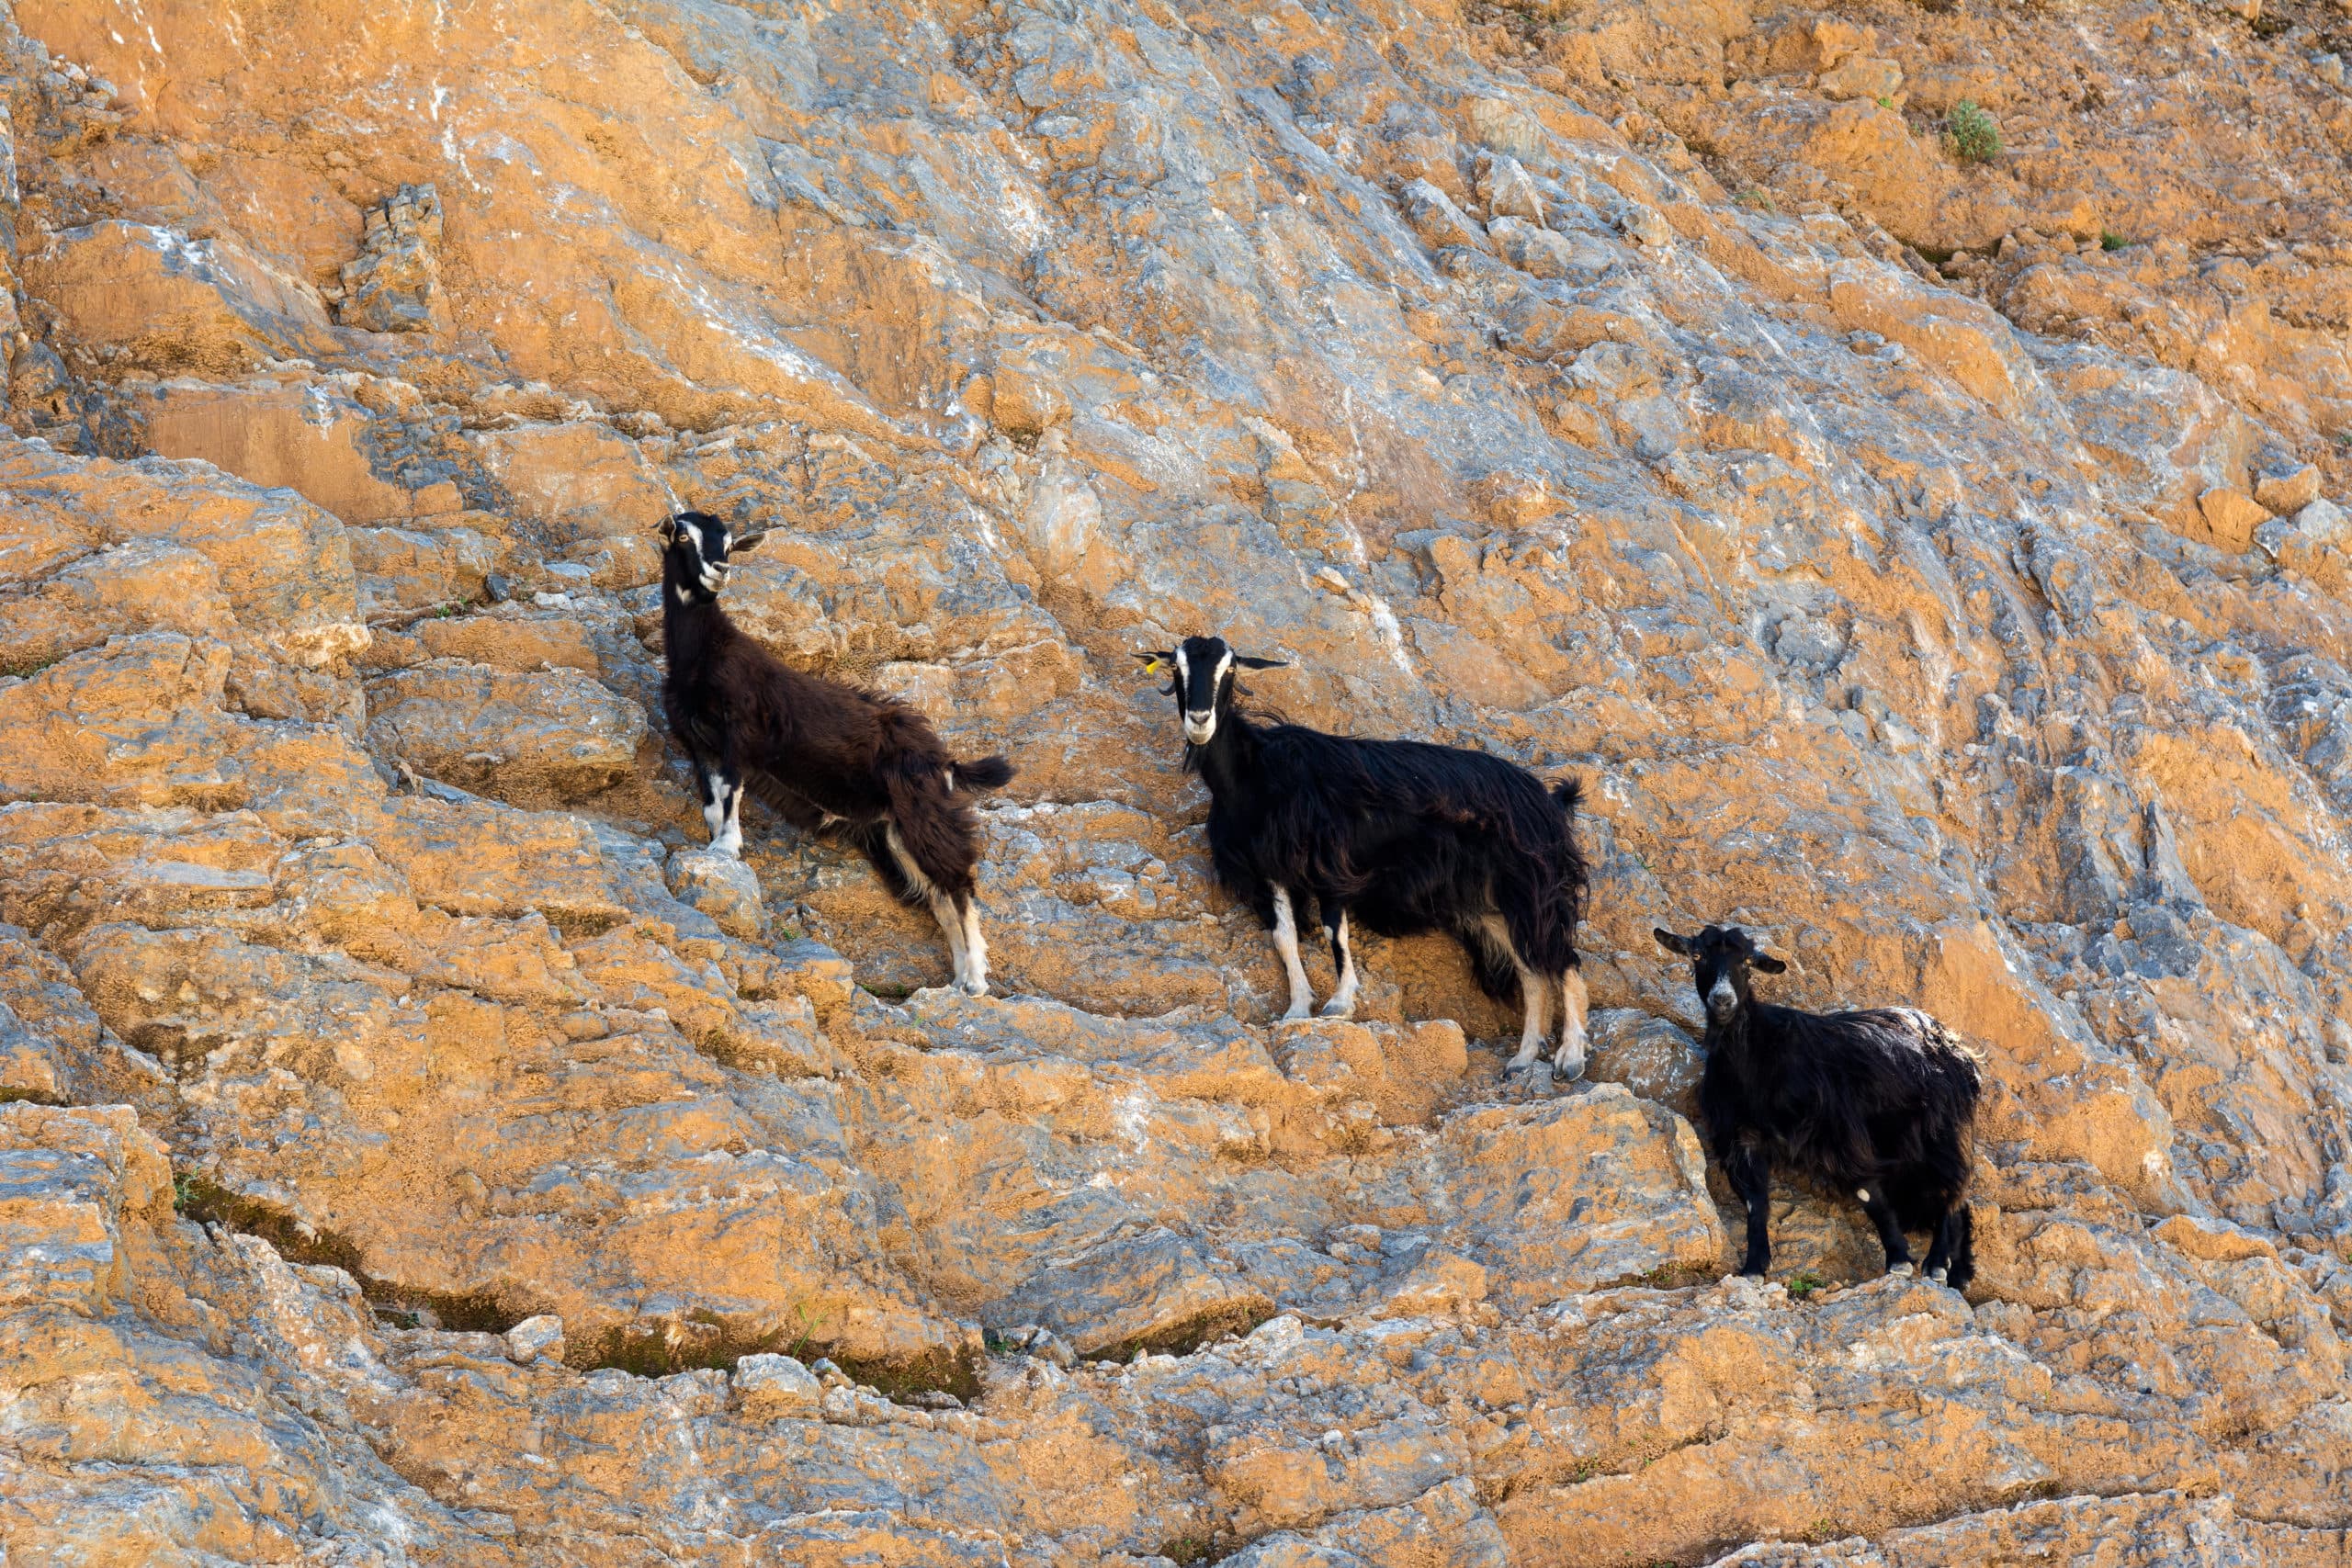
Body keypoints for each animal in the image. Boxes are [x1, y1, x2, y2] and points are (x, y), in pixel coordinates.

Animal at [657, 510, 1014, 994]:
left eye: (730, 545)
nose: (718, 570)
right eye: (681, 535)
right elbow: (713, 804)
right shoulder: (699, 742)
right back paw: (957, 981)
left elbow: (731, 795)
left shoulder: (739, 734)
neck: (705, 652)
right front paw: (715, 845)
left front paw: (727, 850)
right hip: (894, 833)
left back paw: (975, 981)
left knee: (959, 886)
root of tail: (945, 760)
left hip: (924, 815)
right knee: (939, 897)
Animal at [1139, 634, 1589, 1077]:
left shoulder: (1329, 862)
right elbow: (1284, 937)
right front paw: (1297, 1007)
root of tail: (1547, 800)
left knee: (1562, 959)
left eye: (1230, 668)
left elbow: (1333, 932)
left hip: (1533, 887)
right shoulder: (1269, 870)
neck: (1255, 775)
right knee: (1531, 969)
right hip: (1491, 901)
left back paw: (1570, 1057)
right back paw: (1523, 1058)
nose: (1199, 719)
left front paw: (1340, 1003)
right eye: (1176, 667)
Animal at [1653, 924, 1981, 1288]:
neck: (1756, 1057)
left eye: (1748, 962)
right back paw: (1958, 1272)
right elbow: (1756, 1201)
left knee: (1954, 1189)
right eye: (1698, 955)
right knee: (1957, 1198)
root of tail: (1952, 1045)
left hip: (1942, 1130)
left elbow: (1867, 1191)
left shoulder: (1838, 1130)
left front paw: (1898, 1259)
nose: (1723, 999)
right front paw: (1754, 1266)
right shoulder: (1741, 1137)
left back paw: (1937, 1263)